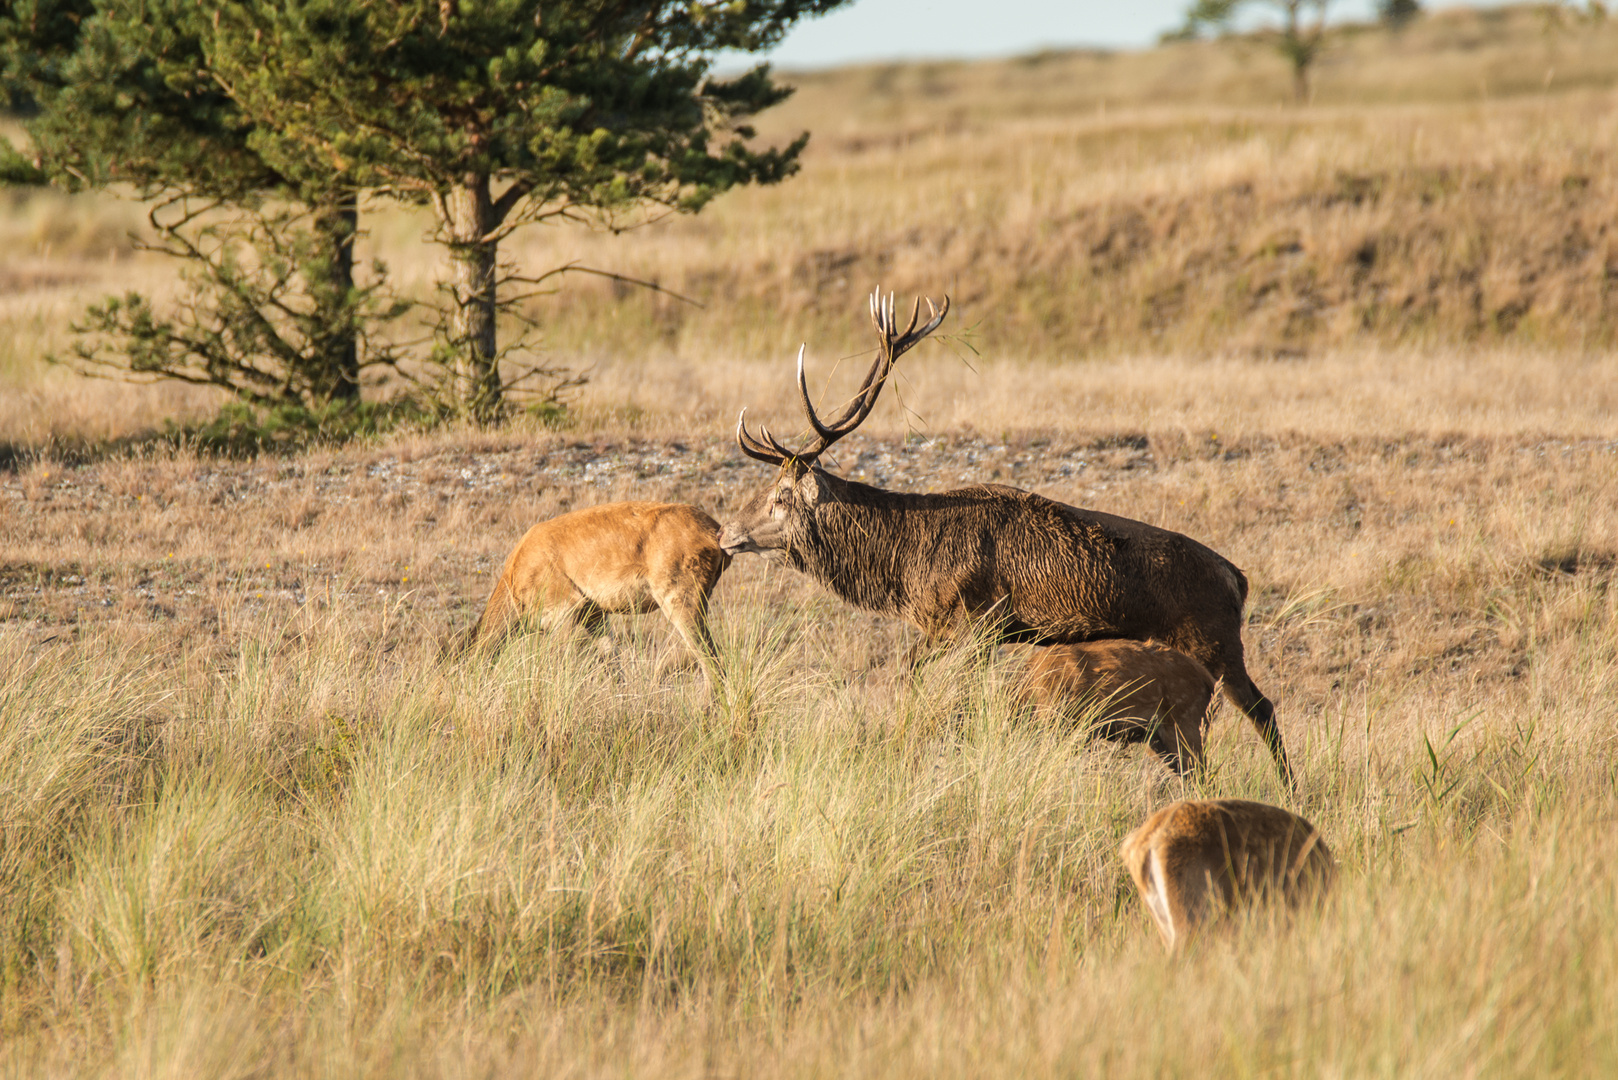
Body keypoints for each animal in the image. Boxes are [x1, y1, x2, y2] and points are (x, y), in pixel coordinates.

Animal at [459, 501, 731, 689]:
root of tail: (715, 531)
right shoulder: (595, 615)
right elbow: (612, 664)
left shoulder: (566, 607)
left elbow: (557, 662)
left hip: (679, 599)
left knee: (712, 661)